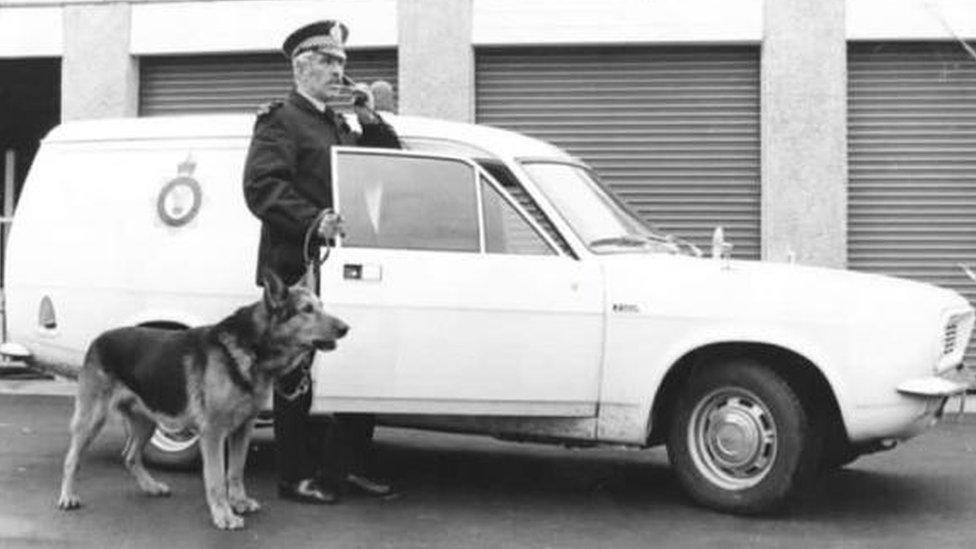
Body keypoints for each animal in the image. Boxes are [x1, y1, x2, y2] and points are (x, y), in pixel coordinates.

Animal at [56, 270, 346, 528]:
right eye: (307, 309)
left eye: (321, 306)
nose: (346, 328)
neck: (253, 346)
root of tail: (97, 339)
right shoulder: (213, 434)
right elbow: (217, 479)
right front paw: (224, 515)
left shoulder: (243, 429)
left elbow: (235, 472)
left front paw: (239, 502)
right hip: (92, 421)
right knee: (72, 460)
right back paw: (68, 496)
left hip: (147, 421)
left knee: (129, 455)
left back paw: (151, 486)